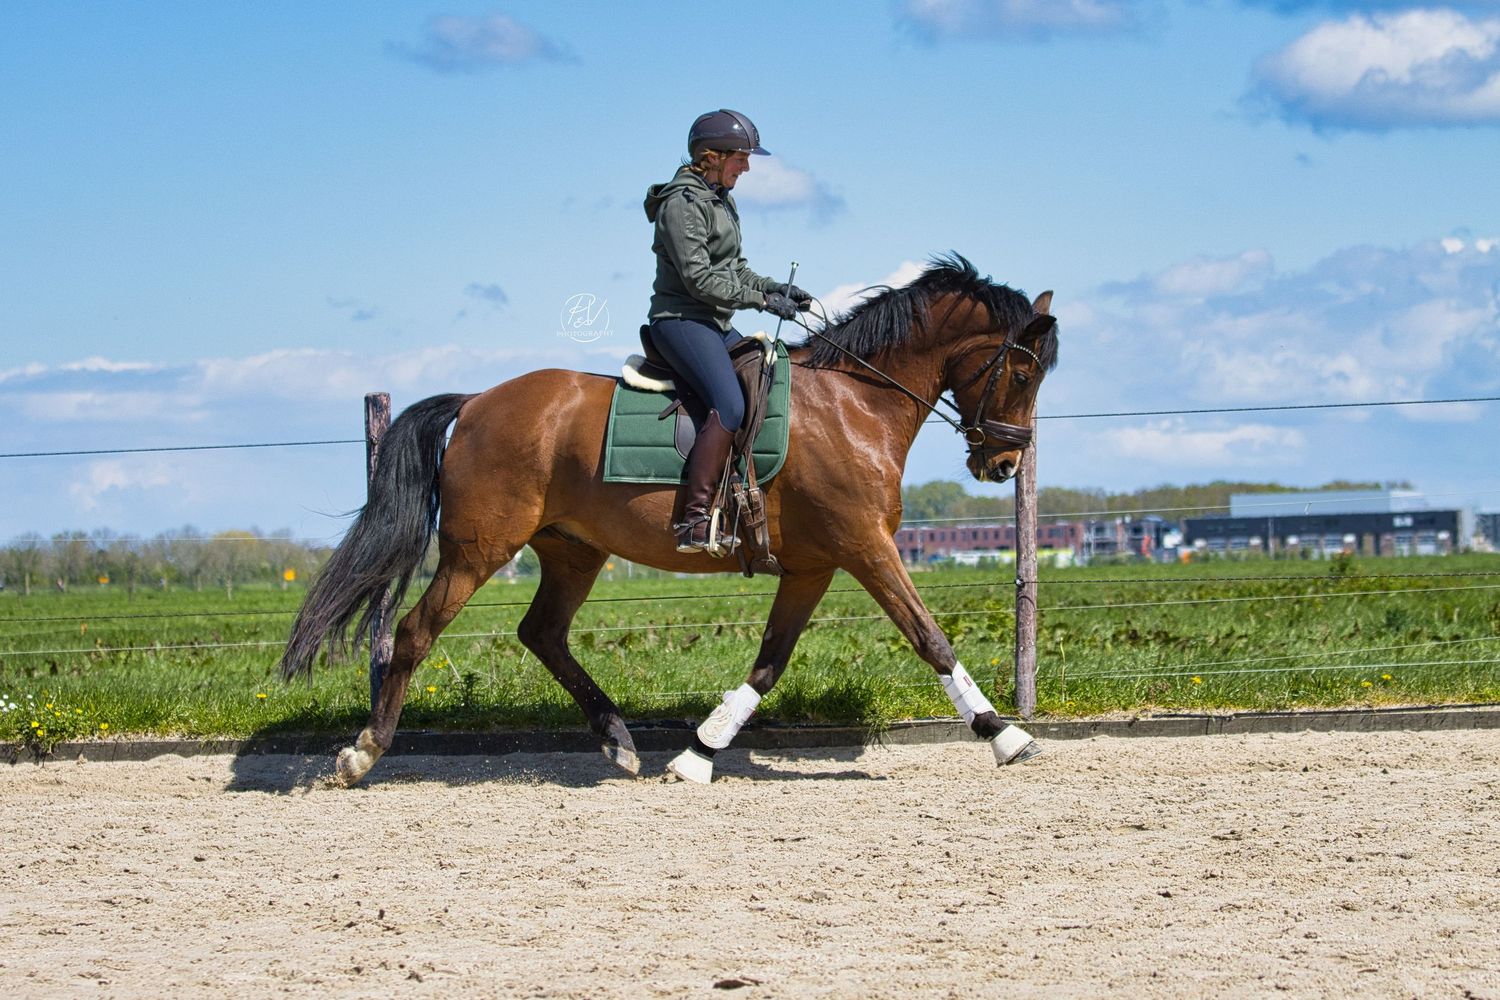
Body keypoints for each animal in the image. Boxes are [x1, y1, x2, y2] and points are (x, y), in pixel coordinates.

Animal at [279, 254, 1060, 786]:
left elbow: (770, 662)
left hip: (572, 551)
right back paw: (363, 752)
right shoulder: (866, 547)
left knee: (543, 633)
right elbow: (930, 637)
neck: (853, 402)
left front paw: (698, 753)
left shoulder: (815, 564)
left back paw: (618, 738)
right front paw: (1003, 734)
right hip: (479, 549)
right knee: (414, 633)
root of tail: (475, 403)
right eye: (1023, 374)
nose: (1002, 464)